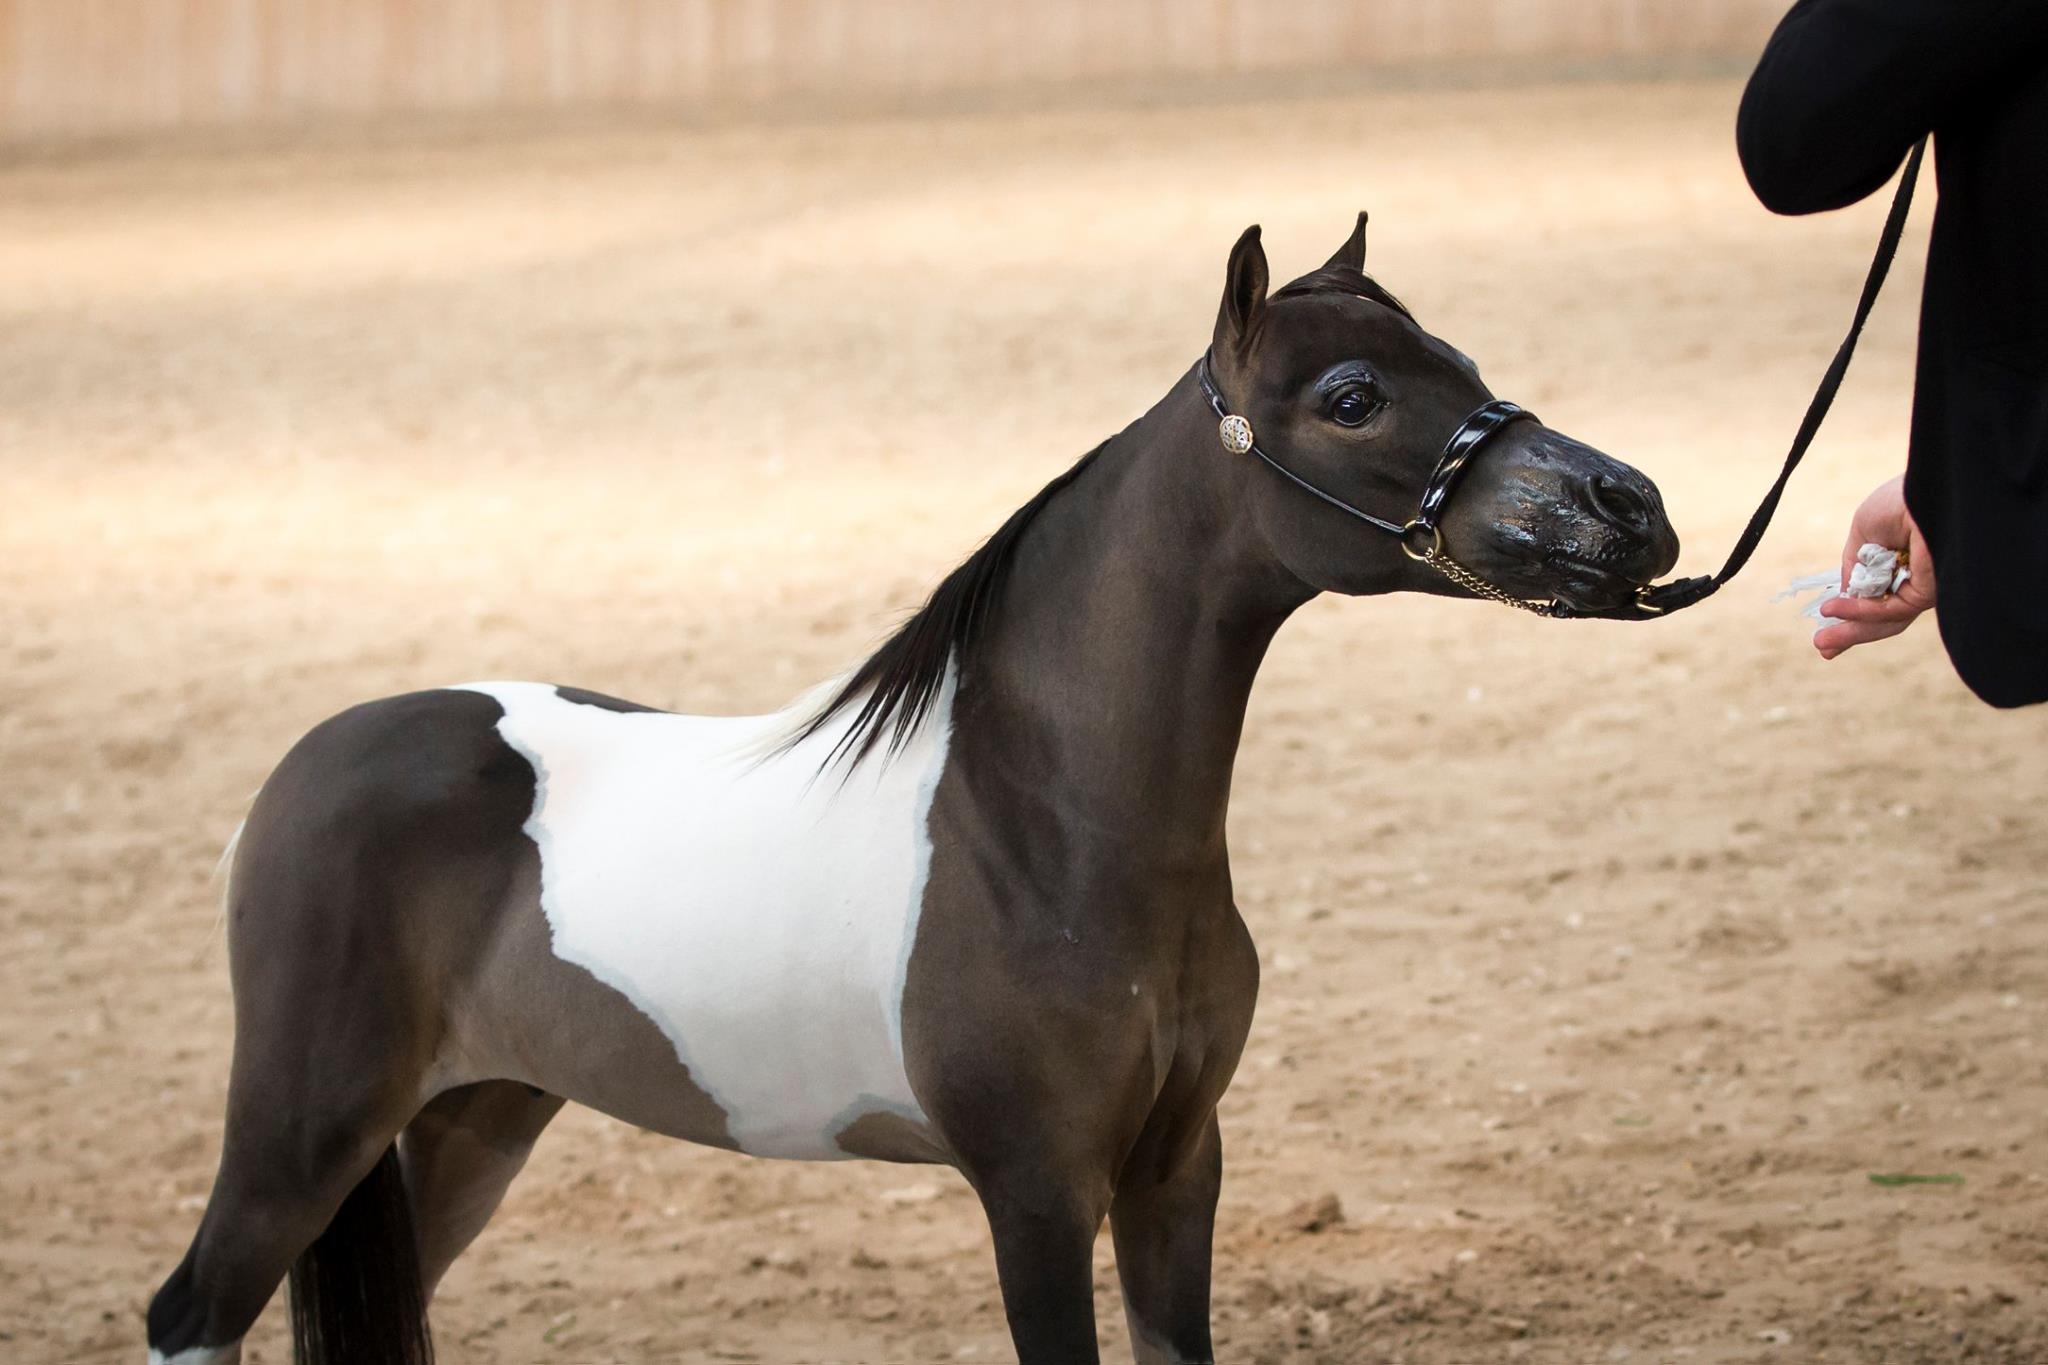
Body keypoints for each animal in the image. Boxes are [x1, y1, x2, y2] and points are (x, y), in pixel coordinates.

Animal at [145, 214, 1679, 1365]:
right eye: (1351, 398)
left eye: (1456, 356)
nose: (1631, 508)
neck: (1044, 834)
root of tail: (307, 764)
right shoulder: (1036, 1192)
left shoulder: (1176, 1165)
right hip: (303, 1126)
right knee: (189, 1312)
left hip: (476, 1115)